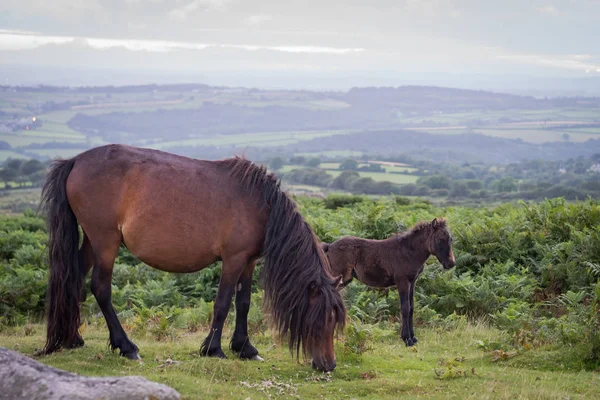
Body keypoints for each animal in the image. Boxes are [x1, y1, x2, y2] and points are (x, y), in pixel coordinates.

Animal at [39, 144, 344, 372]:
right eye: (321, 320)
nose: (329, 365)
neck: (261, 204)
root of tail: (75, 161)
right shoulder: (233, 259)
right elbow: (223, 303)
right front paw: (214, 349)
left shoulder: (248, 261)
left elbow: (244, 303)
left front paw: (245, 348)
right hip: (106, 242)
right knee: (100, 288)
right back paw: (127, 347)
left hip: (92, 241)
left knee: (75, 280)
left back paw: (73, 339)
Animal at [324, 217, 454, 346]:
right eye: (440, 239)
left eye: (451, 239)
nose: (451, 263)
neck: (409, 252)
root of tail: (329, 246)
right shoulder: (402, 282)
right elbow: (405, 308)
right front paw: (407, 339)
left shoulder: (412, 283)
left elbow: (411, 308)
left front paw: (413, 337)